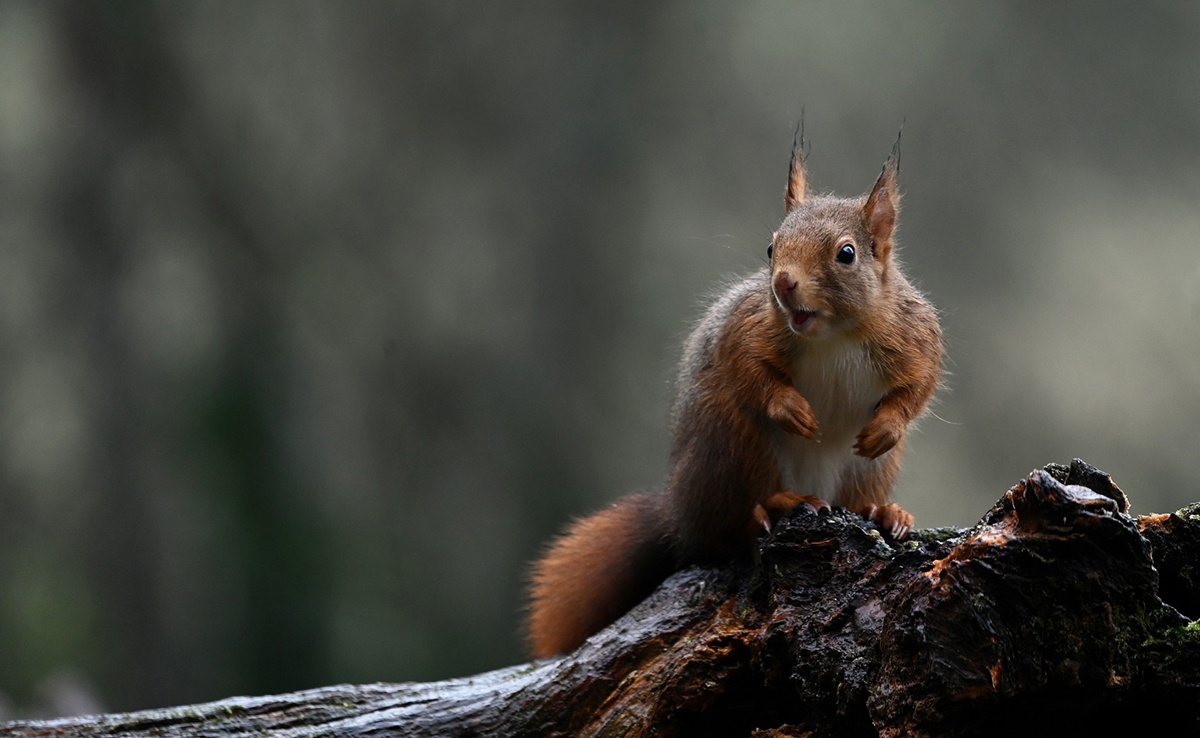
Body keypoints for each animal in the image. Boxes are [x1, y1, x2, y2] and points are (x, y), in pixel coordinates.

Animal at [530, 135, 940, 657]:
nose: (783, 283)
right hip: (734, 444)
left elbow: (919, 385)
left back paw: (884, 512)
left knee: (852, 498)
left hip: (866, 471)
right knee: (727, 532)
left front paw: (887, 426)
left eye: (846, 254)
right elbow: (747, 368)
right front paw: (791, 409)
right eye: (771, 247)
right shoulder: (746, 328)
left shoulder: (915, 335)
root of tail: (678, 515)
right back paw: (775, 507)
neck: (833, 335)